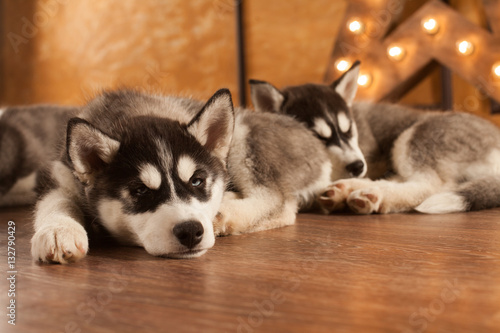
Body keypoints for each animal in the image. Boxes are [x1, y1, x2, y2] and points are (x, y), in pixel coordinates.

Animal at [32, 88, 336, 262]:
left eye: (197, 181)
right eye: (141, 190)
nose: (191, 231)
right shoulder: (61, 174)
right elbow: (56, 200)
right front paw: (58, 230)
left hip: (241, 136)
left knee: (281, 202)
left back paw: (226, 214)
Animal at [250, 61, 500, 214]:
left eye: (349, 130)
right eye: (318, 138)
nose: (358, 165)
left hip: (416, 136)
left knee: (427, 185)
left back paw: (371, 194)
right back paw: (349, 190)